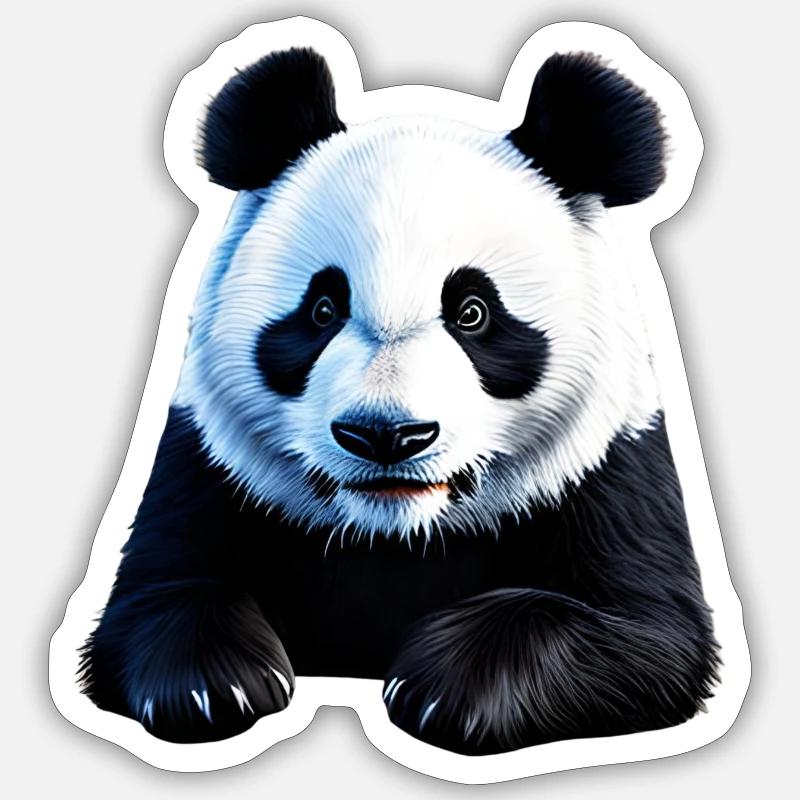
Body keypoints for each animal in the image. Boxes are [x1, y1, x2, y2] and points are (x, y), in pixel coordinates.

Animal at [79, 47, 719, 755]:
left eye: (473, 312)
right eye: (322, 310)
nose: (386, 435)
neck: (393, 533)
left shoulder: (610, 471)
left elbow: (645, 629)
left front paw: (447, 687)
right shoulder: (208, 463)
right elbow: (154, 594)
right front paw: (217, 684)